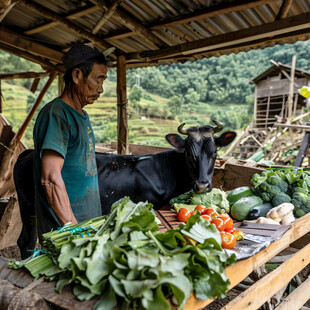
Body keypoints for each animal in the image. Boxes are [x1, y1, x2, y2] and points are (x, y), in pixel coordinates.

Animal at [12, 122, 235, 258]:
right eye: (189, 153)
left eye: (214, 152)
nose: (202, 185)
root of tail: (28, 153)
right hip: (28, 205)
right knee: (26, 242)